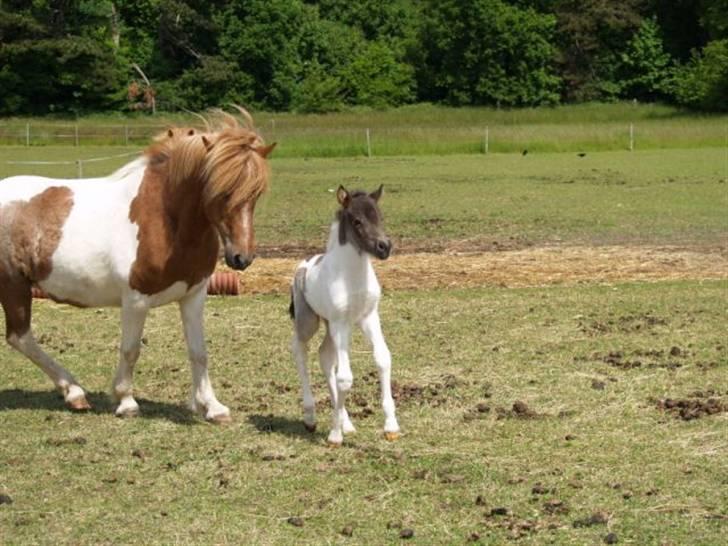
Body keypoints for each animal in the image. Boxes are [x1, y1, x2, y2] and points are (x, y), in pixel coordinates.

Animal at [0, 111, 272, 420]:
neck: (164, 218)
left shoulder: (194, 296)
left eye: (256, 193)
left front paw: (212, 407)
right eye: (221, 191)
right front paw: (126, 402)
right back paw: (75, 392)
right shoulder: (136, 300)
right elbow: (130, 350)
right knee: (20, 337)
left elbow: (198, 351)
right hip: (13, 286)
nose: (242, 257)